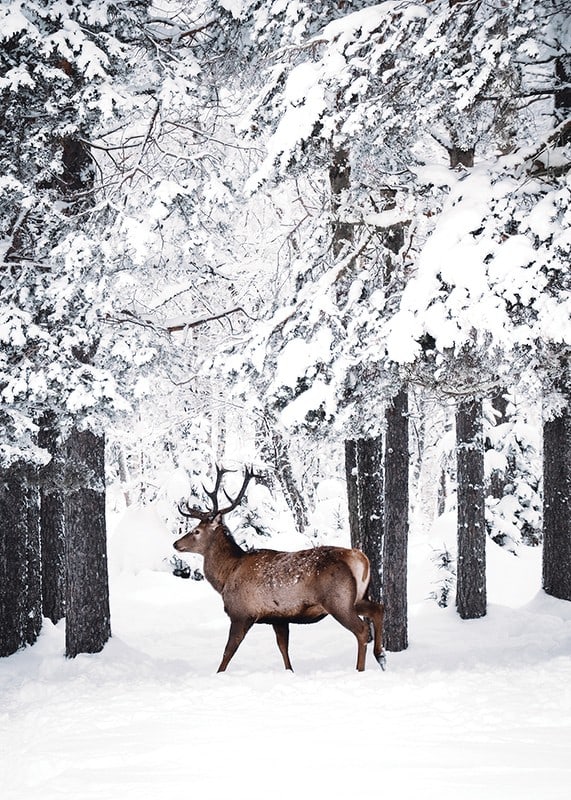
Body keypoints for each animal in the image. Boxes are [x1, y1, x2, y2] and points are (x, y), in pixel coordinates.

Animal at [174, 466, 386, 673]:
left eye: (196, 531)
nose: (176, 543)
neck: (226, 576)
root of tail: (359, 558)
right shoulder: (278, 618)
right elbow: (283, 648)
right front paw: (290, 671)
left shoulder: (241, 613)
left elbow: (228, 652)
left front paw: (218, 674)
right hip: (357, 597)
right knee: (378, 608)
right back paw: (381, 656)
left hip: (337, 600)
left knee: (362, 630)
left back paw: (360, 669)